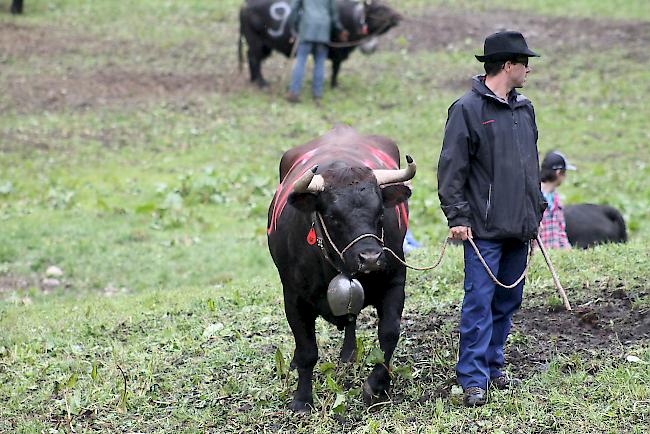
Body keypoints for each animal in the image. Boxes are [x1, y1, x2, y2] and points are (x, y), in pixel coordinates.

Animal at [238, 0, 400, 88]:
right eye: (380, 9)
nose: (399, 16)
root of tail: (245, 5)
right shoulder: (338, 53)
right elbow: (336, 69)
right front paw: (334, 85)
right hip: (256, 42)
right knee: (254, 59)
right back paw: (262, 83)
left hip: (263, 45)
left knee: (251, 57)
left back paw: (254, 79)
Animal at [266, 124, 412, 410]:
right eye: (333, 216)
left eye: (380, 212)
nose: (370, 258)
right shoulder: (294, 298)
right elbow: (307, 350)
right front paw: (302, 399)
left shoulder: (394, 282)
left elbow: (389, 334)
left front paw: (376, 387)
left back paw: (348, 354)